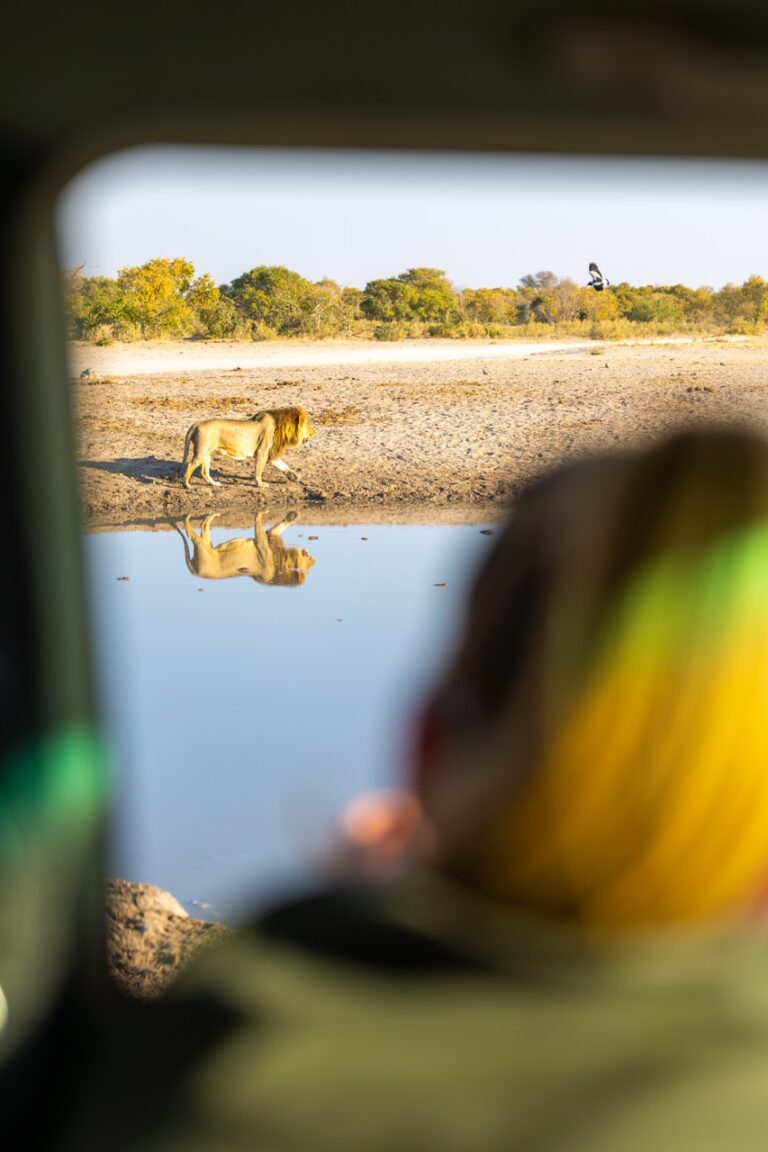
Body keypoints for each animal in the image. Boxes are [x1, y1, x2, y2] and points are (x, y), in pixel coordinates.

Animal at [174, 511, 316, 586]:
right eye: (309, 560)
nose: (312, 556)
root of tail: (195, 572)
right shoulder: (262, 543)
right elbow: (260, 523)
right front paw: (262, 512)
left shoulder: (269, 538)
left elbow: (279, 526)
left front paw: (293, 515)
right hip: (202, 546)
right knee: (195, 530)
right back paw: (188, 516)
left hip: (207, 543)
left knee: (203, 525)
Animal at [180, 406, 316, 490]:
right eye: (308, 424)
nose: (314, 433)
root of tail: (197, 423)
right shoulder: (262, 451)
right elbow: (259, 470)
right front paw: (260, 484)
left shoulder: (271, 453)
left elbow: (283, 465)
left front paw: (295, 476)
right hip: (201, 451)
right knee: (190, 465)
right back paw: (187, 485)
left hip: (207, 454)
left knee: (204, 472)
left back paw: (214, 484)